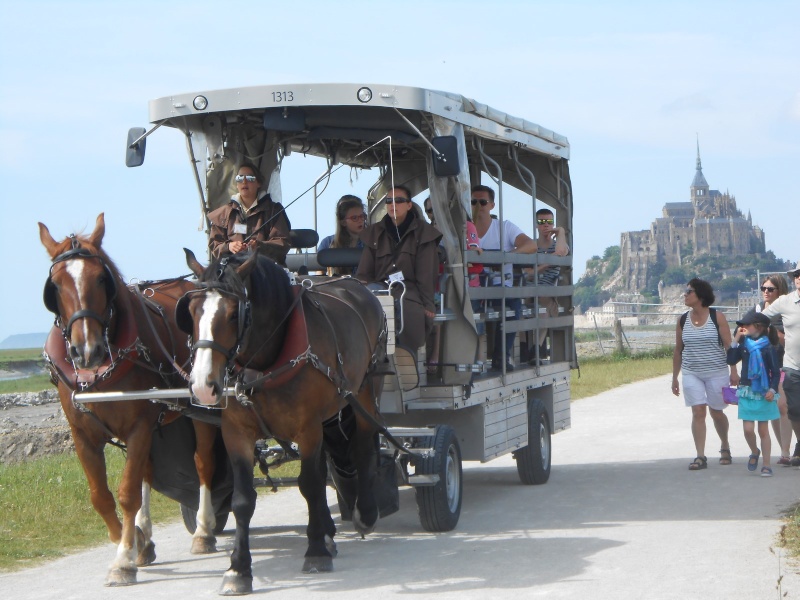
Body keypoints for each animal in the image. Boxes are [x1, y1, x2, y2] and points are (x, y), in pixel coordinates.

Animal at [39, 214, 220, 584]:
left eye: (100, 278)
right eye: (56, 286)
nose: (87, 351)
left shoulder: (138, 426)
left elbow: (126, 493)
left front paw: (123, 559)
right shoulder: (84, 436)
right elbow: (102, 497)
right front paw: (134, 540)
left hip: (199, 407)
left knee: (203, 464)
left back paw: (203, 532)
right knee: (148, 472)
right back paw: (146, 535)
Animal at [177, 250, 388, 596]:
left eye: (233, 314)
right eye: (192, 311)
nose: (203, 385)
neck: (265, 362)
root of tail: (354, 284)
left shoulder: (307, 429)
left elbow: (309, 485)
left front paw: (315, 551)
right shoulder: (236, 434)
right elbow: (242, 500)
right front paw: (238, 568)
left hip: (366, 390)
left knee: (363, 443)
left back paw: (365, 513)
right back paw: (328, 532)